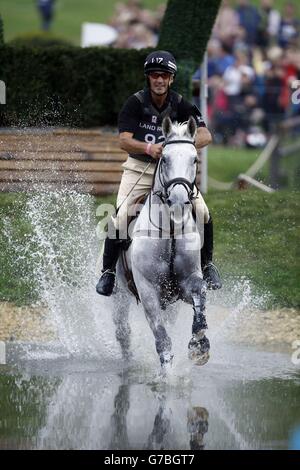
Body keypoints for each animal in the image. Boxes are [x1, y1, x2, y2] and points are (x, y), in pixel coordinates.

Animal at [113, 115, 210, 370]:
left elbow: (200, 293)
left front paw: (200, 345)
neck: (171, 230)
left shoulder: (186, 283)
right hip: (119, 294)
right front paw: (166, 375)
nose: (178, 201)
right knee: (122, 331)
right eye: (164, 158)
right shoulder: (148, 291)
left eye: (195, 159)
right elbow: (162, 339)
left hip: (171, 305)